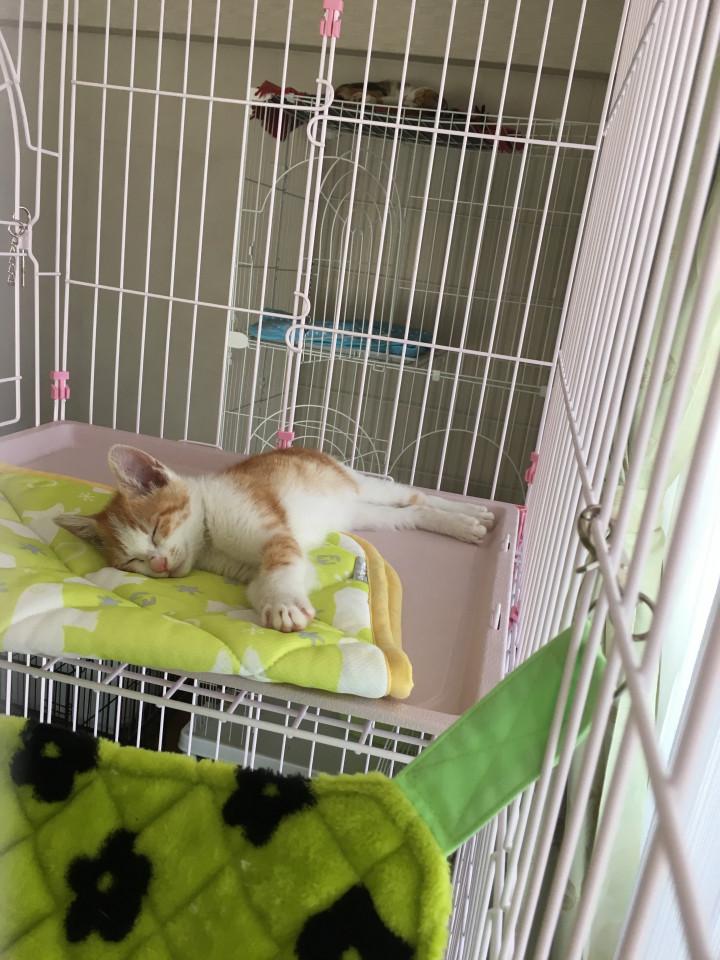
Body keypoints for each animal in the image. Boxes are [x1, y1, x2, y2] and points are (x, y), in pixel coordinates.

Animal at [56, 445, 493, 634]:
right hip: (361, 514)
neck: (210, 535)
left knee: (412, 495)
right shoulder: (241, 566)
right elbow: (260, 582)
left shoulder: (267, 524)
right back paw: (459, 521)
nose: (159, 564)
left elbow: (282, 561)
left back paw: (470, 515)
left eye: (155, 529)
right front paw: (275, 602)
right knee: (408, 514)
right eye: (131, 562)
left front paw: (284, 602)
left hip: (357, 483)